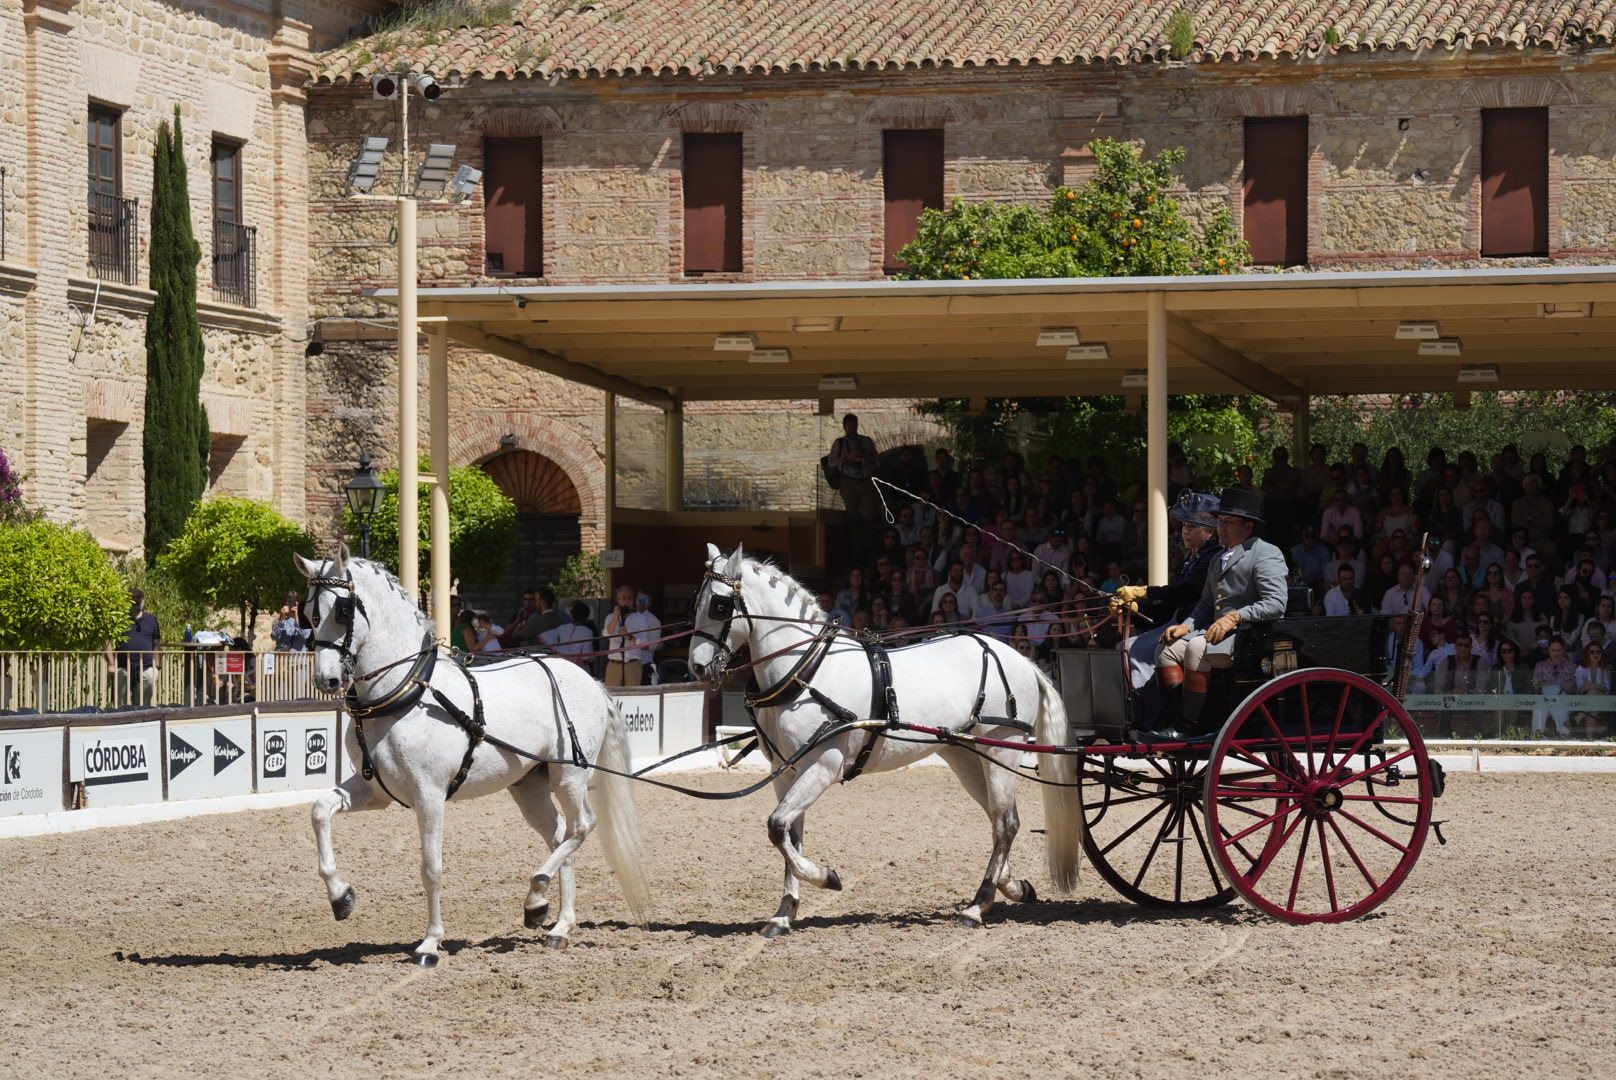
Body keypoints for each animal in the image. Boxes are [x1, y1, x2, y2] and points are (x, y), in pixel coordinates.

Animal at [297, 543, 649, 963]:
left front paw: (431, 942)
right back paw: (556, 921)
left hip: (570, 776)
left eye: (343, 610)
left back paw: (538, 893)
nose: (327, 679)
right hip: (529, 788)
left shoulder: (429, 796)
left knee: (581, 826)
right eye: (308, 613)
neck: (404, 693)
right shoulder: (375, 790)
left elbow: (431, 868)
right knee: (560, 836)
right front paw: (341, 896)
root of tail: (590, 680)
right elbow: (320, 811)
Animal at [688, 543, 1079, 931]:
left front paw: (828, 877)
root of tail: (1021, 660)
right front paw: (784, 913)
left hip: (1001, 750)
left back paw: (977, 906)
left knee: (1006, 824)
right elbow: (789, 835)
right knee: (999, 819)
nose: (696, 667)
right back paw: (1011, 887)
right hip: (967, 757)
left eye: (719, 605)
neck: (807, 673)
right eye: (697, 601)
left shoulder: (824, 765)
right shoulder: (785, 772)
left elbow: (776, 826)